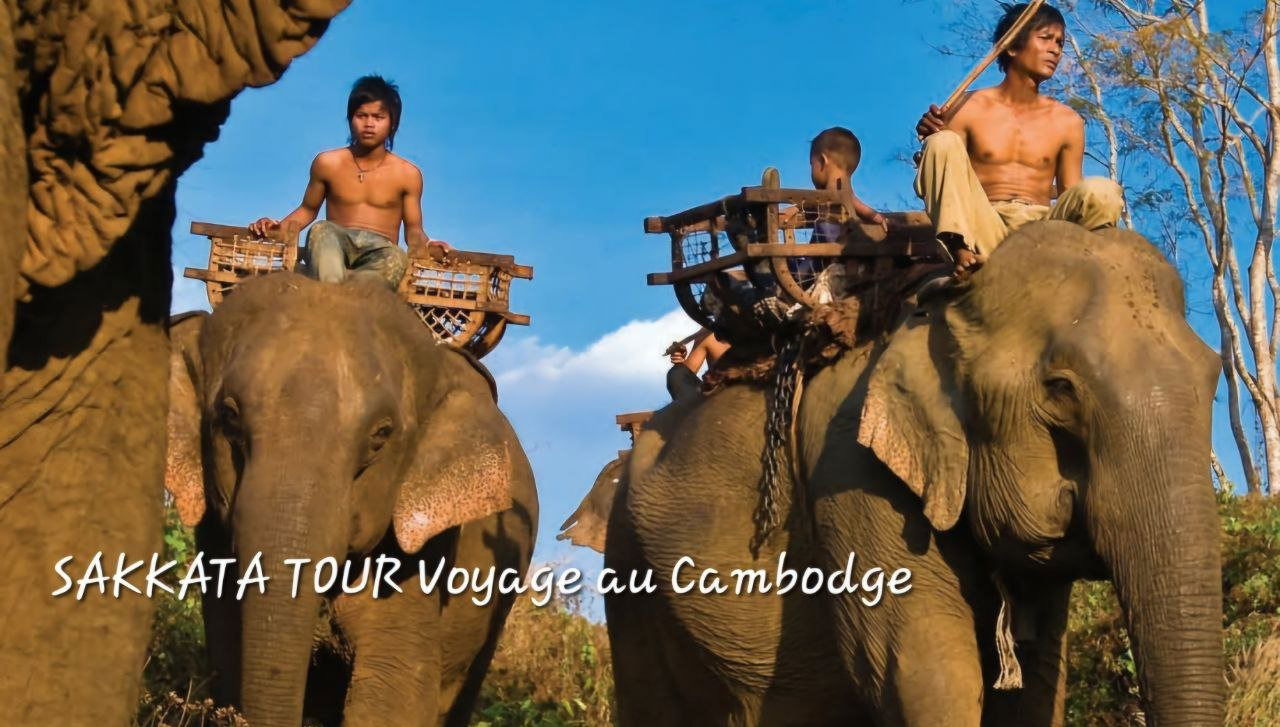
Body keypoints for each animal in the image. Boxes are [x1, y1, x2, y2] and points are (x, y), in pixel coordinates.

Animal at [604, 222, 1223, 726]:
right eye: (1060, 389)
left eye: (1215, 374)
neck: (940, 307)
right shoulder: (850, 471)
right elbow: (926, 671)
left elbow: (1036, 678)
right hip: (632, 586)